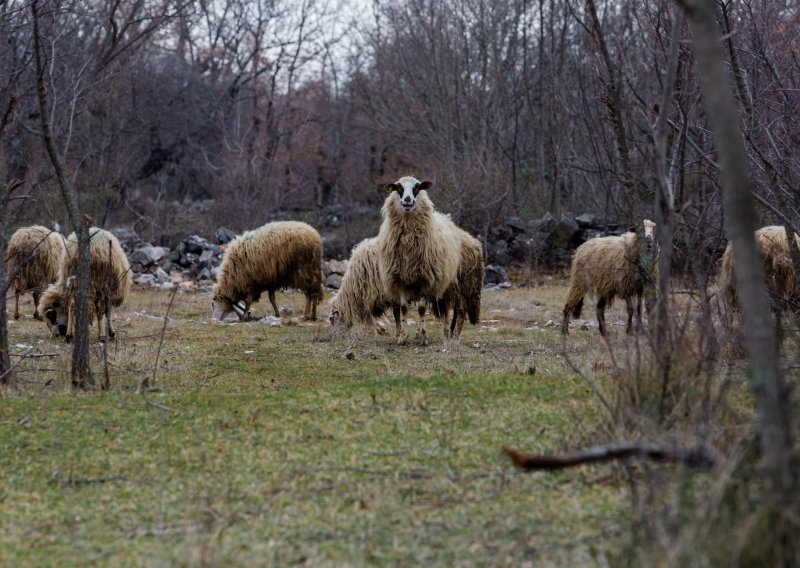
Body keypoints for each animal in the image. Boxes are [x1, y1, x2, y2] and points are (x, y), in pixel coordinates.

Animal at [376, 175, 460, 344]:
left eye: (417, 187)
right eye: (398, 187)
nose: (408, 200)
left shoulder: (424, 278)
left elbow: (421, 309)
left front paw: (423, 338)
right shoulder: (399, 278)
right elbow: (403, 308)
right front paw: (402, 337)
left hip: (446, 283)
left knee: (445, 308)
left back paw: (442, 333)